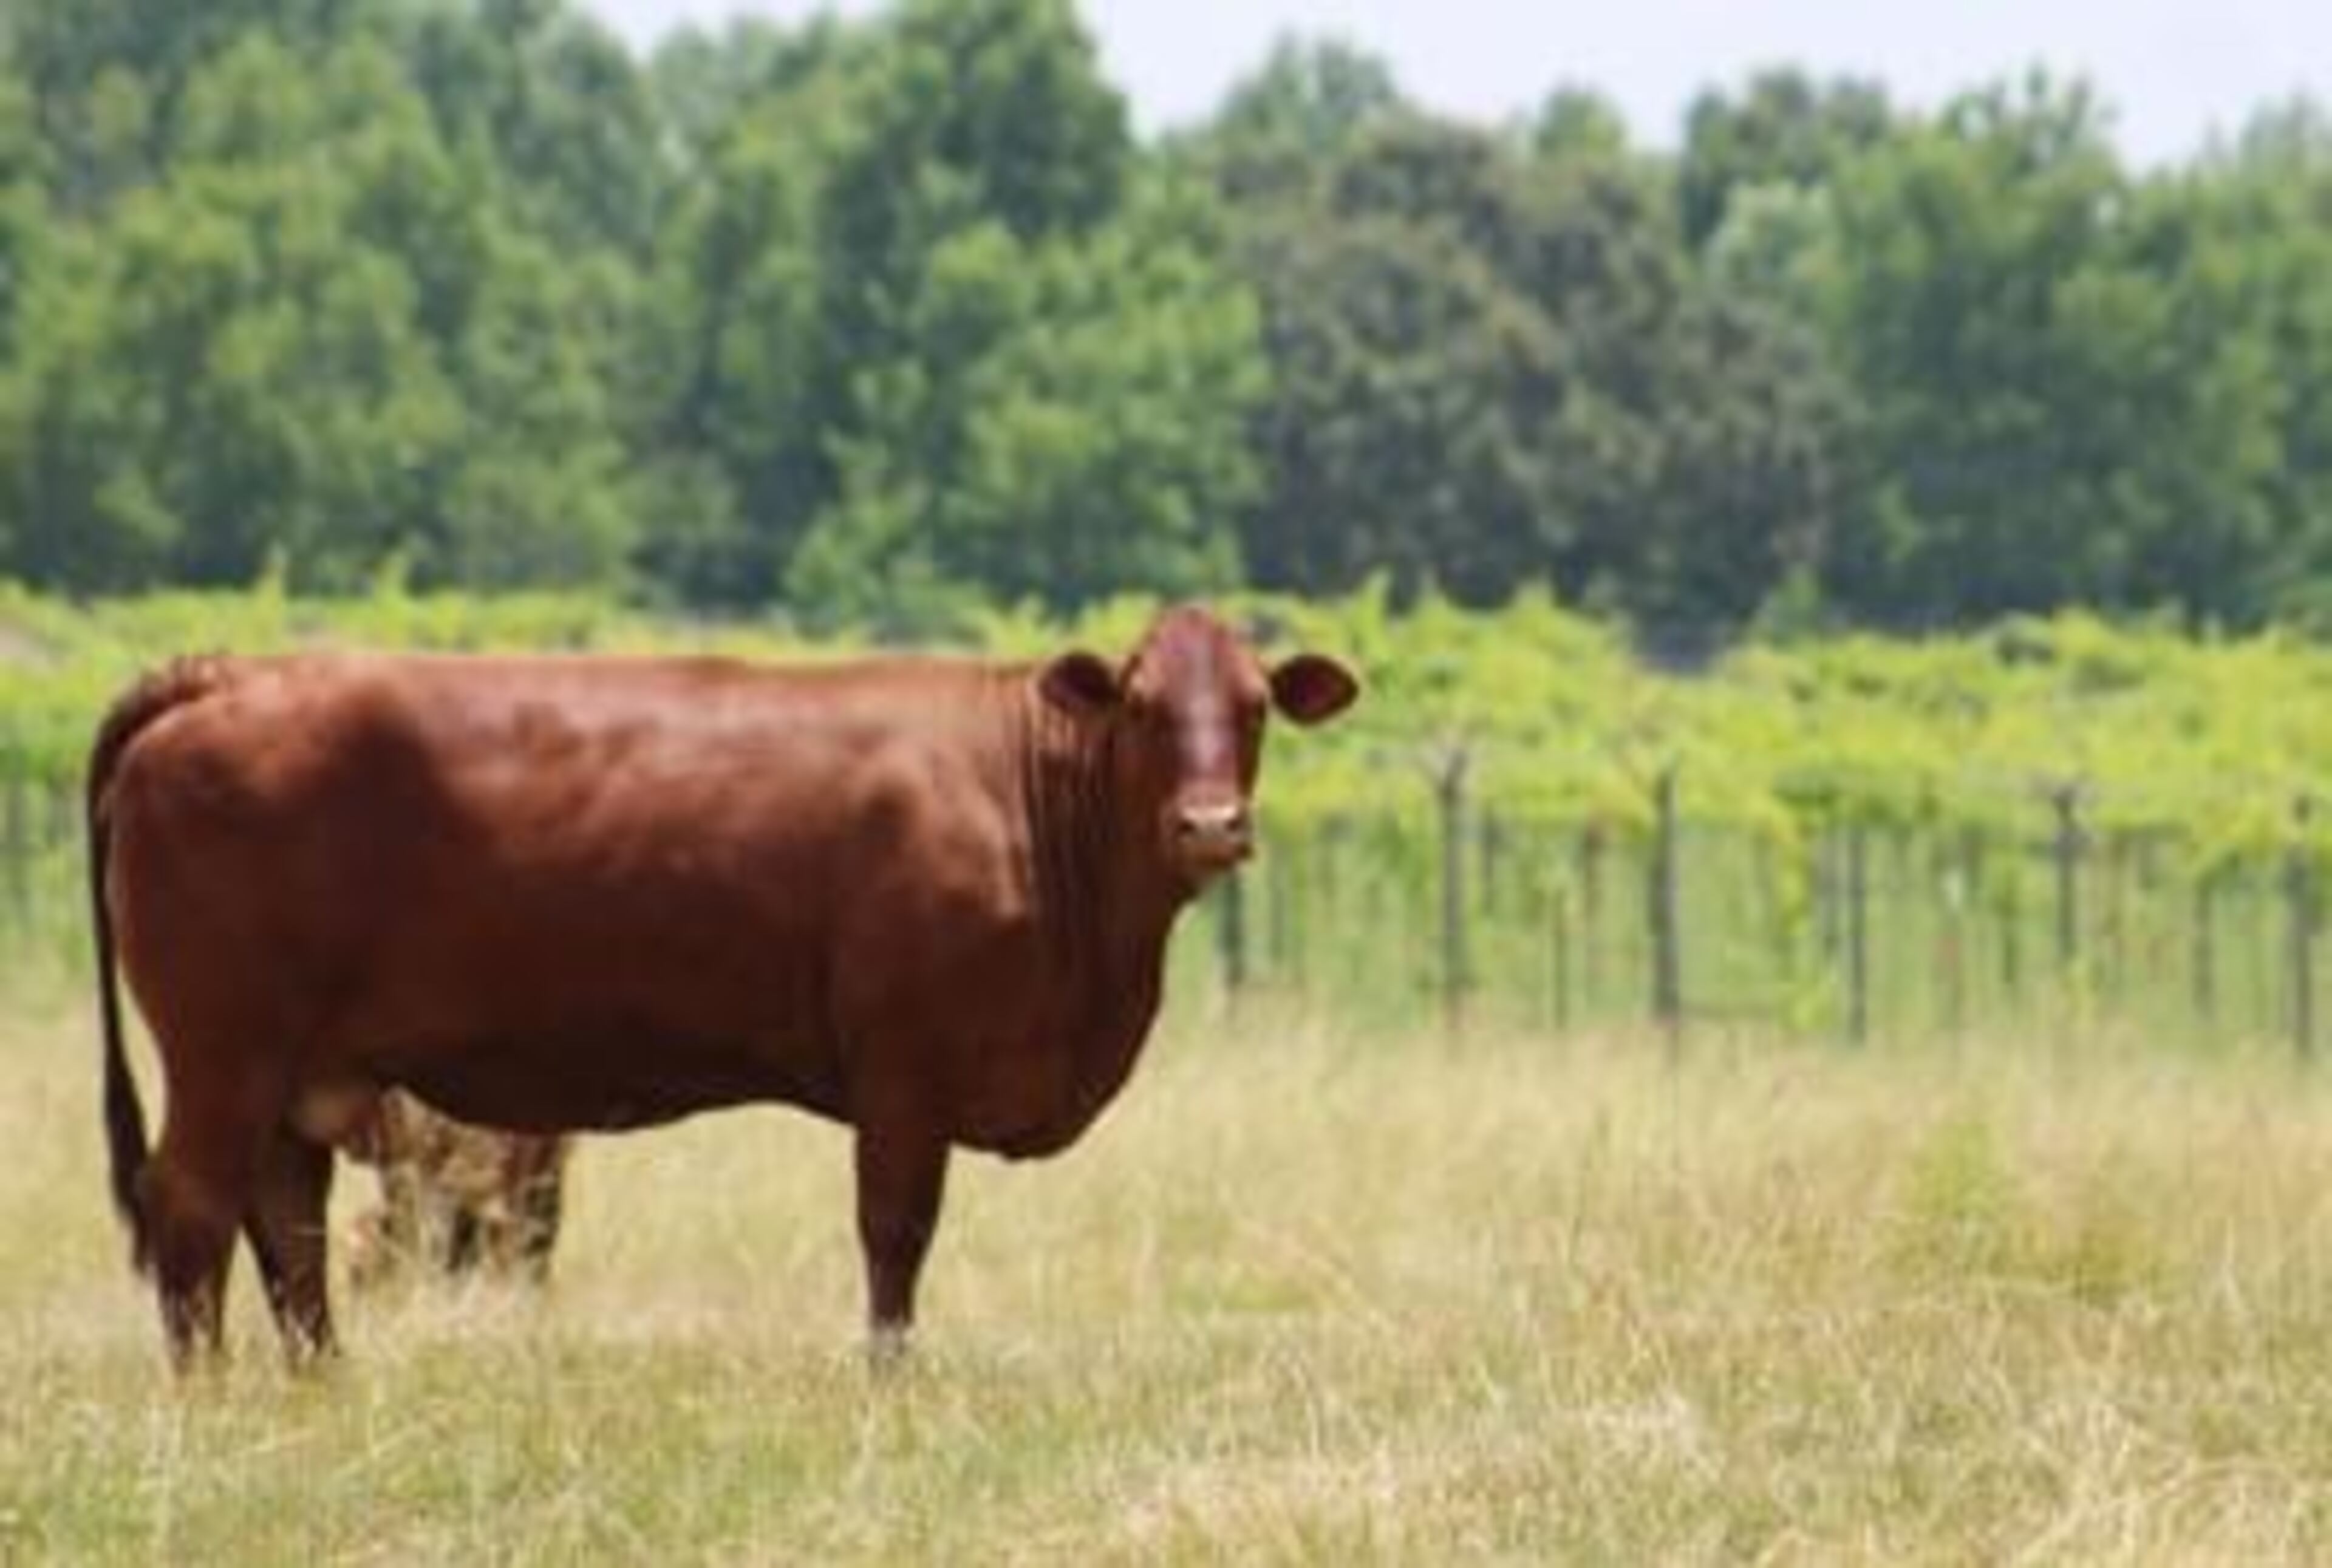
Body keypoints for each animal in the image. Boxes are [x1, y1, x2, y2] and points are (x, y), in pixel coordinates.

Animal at [87, 606, 1357, 1368]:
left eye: (1254, 707)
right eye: (1144, 705)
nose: (1211, 825)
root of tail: (227, 675)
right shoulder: (904, 1069)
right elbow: (895, 1233)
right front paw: (889, 1383)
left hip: (293, 1072)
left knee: (287, 1223)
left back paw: (322, 1386)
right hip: (222, 1052)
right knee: (193, 1209)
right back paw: (208, 1397)